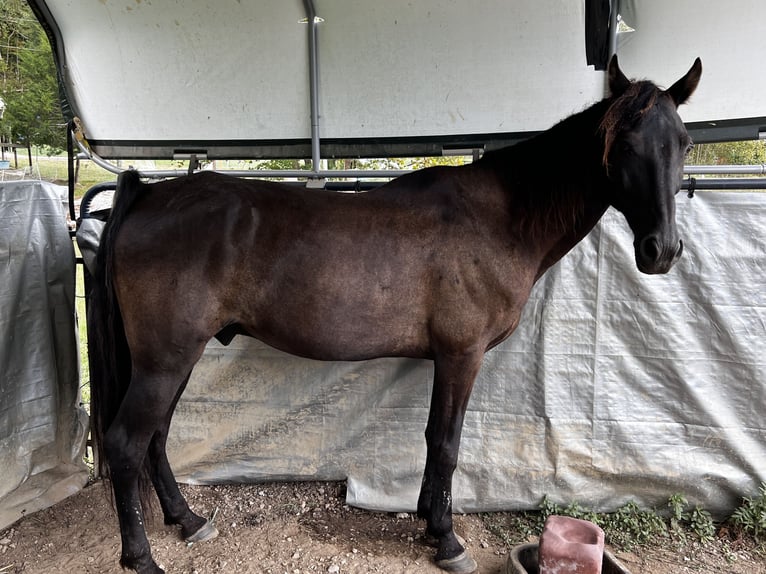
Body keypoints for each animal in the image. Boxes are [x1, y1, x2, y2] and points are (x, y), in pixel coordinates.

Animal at [88, 55, 701, 574]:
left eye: (684, 142)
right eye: (624, 143)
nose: (662, 250)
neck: (502, 216)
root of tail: (148, 197)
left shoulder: (446, 358)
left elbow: (433, 437)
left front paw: (430, 522)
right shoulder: (461, 355)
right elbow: (447, 443)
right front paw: (449, 540)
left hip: (175, 358)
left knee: (156, 437)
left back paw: (187, 520)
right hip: (165, 359)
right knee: (126, 443)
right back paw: (141, 556)